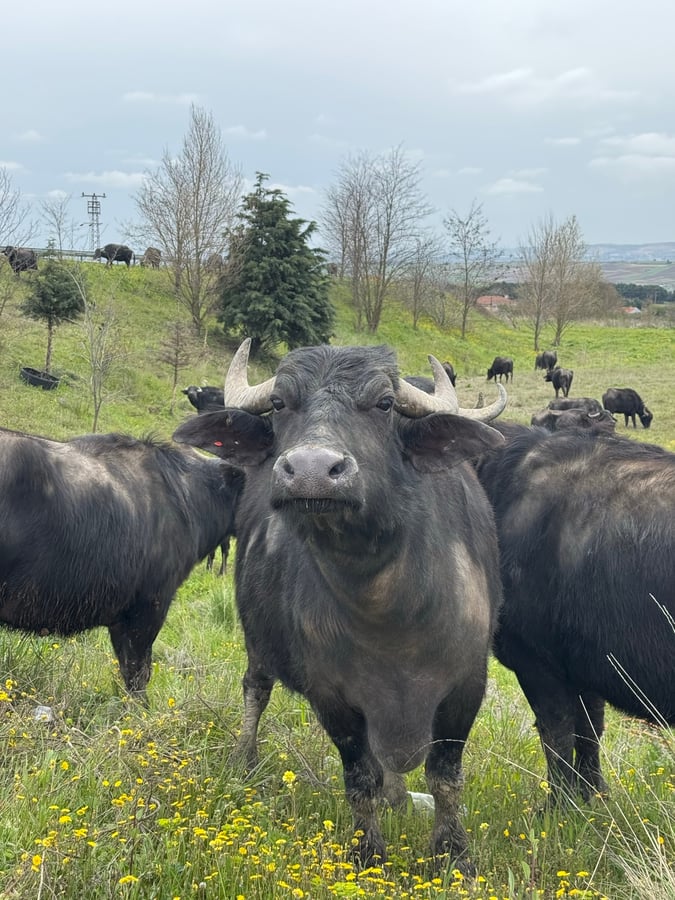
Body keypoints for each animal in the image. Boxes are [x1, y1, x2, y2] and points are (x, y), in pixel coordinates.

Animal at [173, 338, 508, 871]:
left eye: (385, 404)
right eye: (279, 402)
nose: (311, 471)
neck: (389, 612)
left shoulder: (467, 685)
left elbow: (444, 777)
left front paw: (452, 853)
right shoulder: (330, 694)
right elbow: (360, 776)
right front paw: (368, 851)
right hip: (257, 640)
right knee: (256, 688)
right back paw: (244, 757)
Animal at [475, 425, 675, 802]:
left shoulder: (538, 664)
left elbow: (557, 733)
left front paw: (559, 803)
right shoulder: (587, 663)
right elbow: (589, 729)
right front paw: (593, 793)